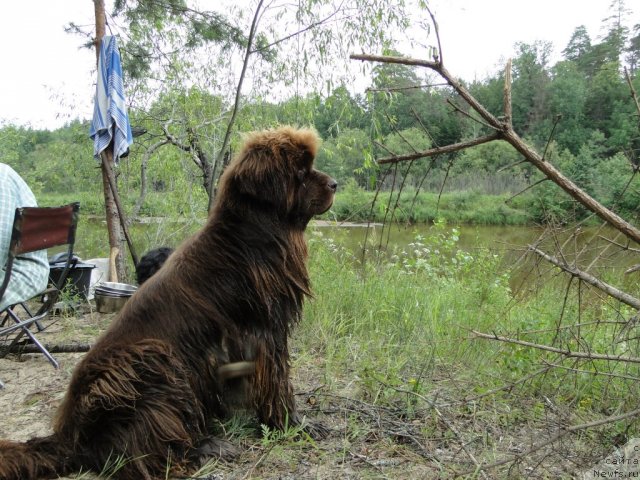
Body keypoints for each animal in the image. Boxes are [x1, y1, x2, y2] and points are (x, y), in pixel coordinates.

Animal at [0, 125, 338, 478]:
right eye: (301, 172)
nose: (335, 184)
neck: (248, 237)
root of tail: (68, 437)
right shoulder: (263, 331)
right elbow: (278, 383)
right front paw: (296, 425)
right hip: (152, 358)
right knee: (141, 449)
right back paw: (207, 448)